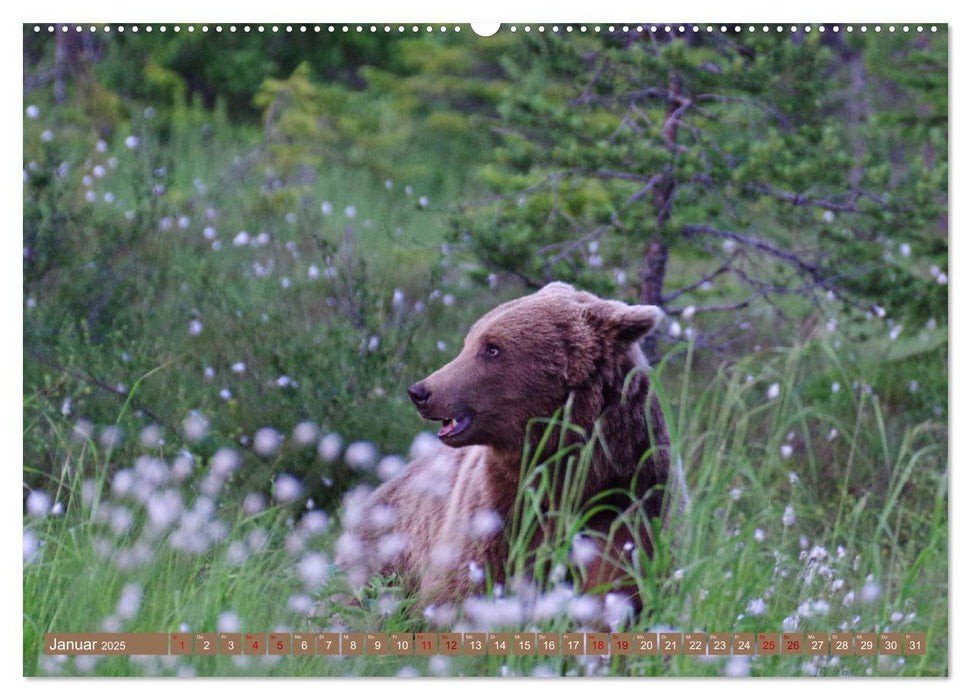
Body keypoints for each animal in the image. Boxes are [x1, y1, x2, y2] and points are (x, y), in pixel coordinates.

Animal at [334, 282, 684, 608]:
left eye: (492, 349)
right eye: (470, 341)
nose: (420, 392)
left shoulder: (632, 494)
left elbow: (619, 580)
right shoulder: (495, 506)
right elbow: (463, 587)